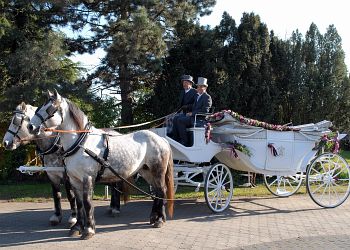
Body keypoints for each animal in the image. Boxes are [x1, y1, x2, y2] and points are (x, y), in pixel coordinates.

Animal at [27, 91, 175, 239]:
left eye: (50, 109)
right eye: (38, 107)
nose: (30, 127)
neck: (81, 144)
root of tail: (161, 139)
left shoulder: (87, 178)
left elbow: (87, 203)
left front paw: (89, 230)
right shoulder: (74, 180)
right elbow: (79, 204)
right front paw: (77, 227)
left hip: (157, 171)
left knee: (162, 190)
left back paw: (160, 219)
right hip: (146, 171)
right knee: (156, 191)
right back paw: (154, 217)